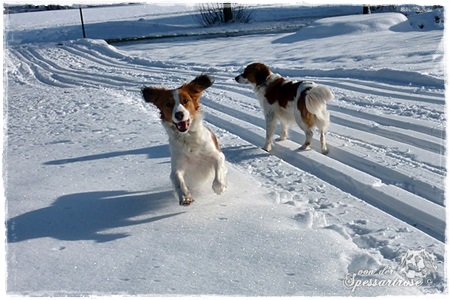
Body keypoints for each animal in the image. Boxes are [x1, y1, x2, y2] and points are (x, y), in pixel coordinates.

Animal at [142, 75, 227, 206]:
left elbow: (218, 171)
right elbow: (178, 180)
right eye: (168, 104)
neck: (188, 138)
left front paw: (218, 187)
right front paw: (185, 197)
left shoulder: (217, 154)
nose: (179, 114)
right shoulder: (177, 166)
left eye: (185, 100)